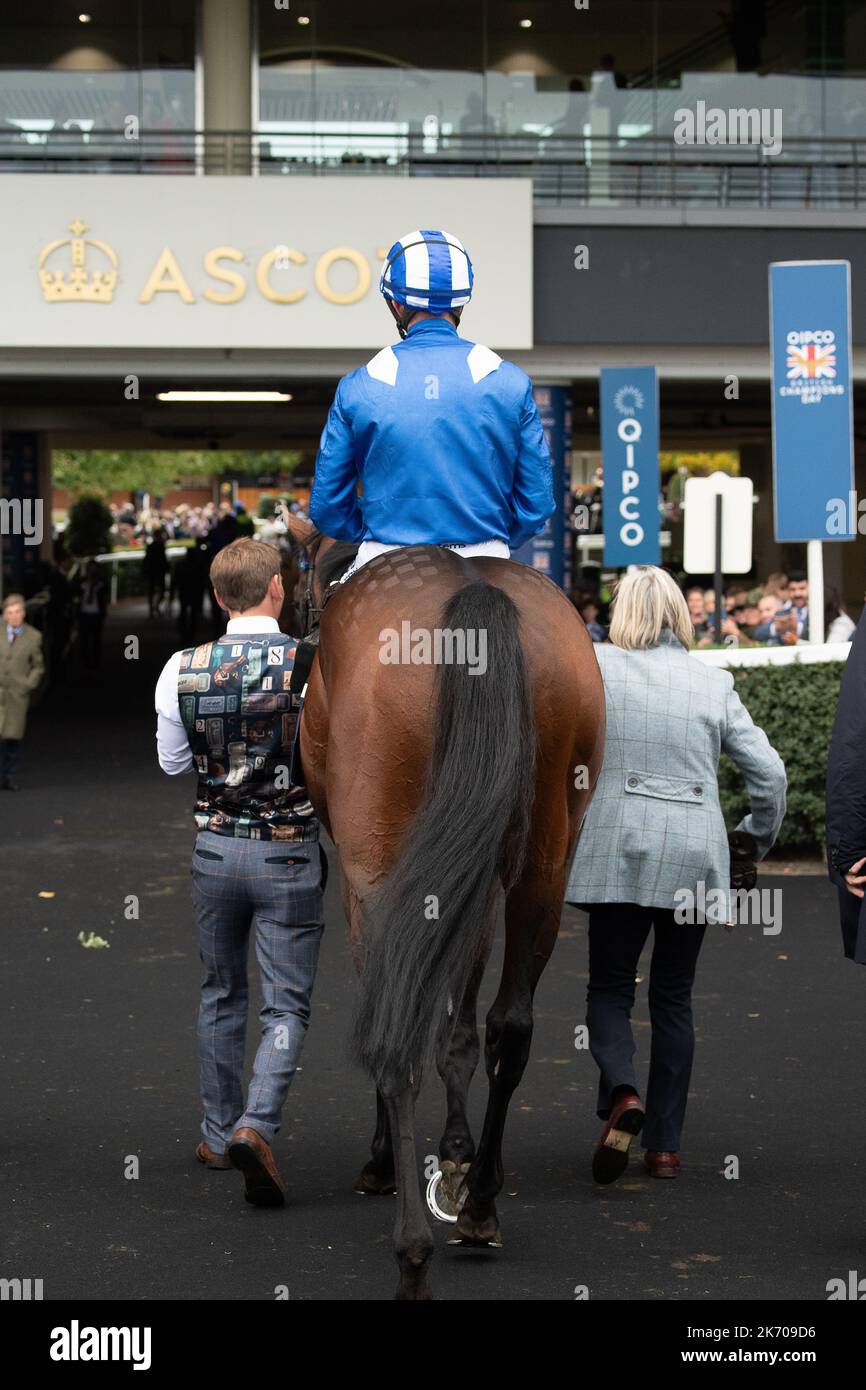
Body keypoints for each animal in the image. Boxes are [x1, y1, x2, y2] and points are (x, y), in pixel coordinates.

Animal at [284, 514, 603, 1301]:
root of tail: (471, 588)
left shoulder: (375, 881)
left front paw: (389, 1162)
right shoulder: (474, 876)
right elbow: (460, 1021)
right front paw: (457, 1153)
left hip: (378, 867)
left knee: (395, 1032)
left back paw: (412, 1254)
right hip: (543, 864)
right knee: (511, 1026)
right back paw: (481, 1205)